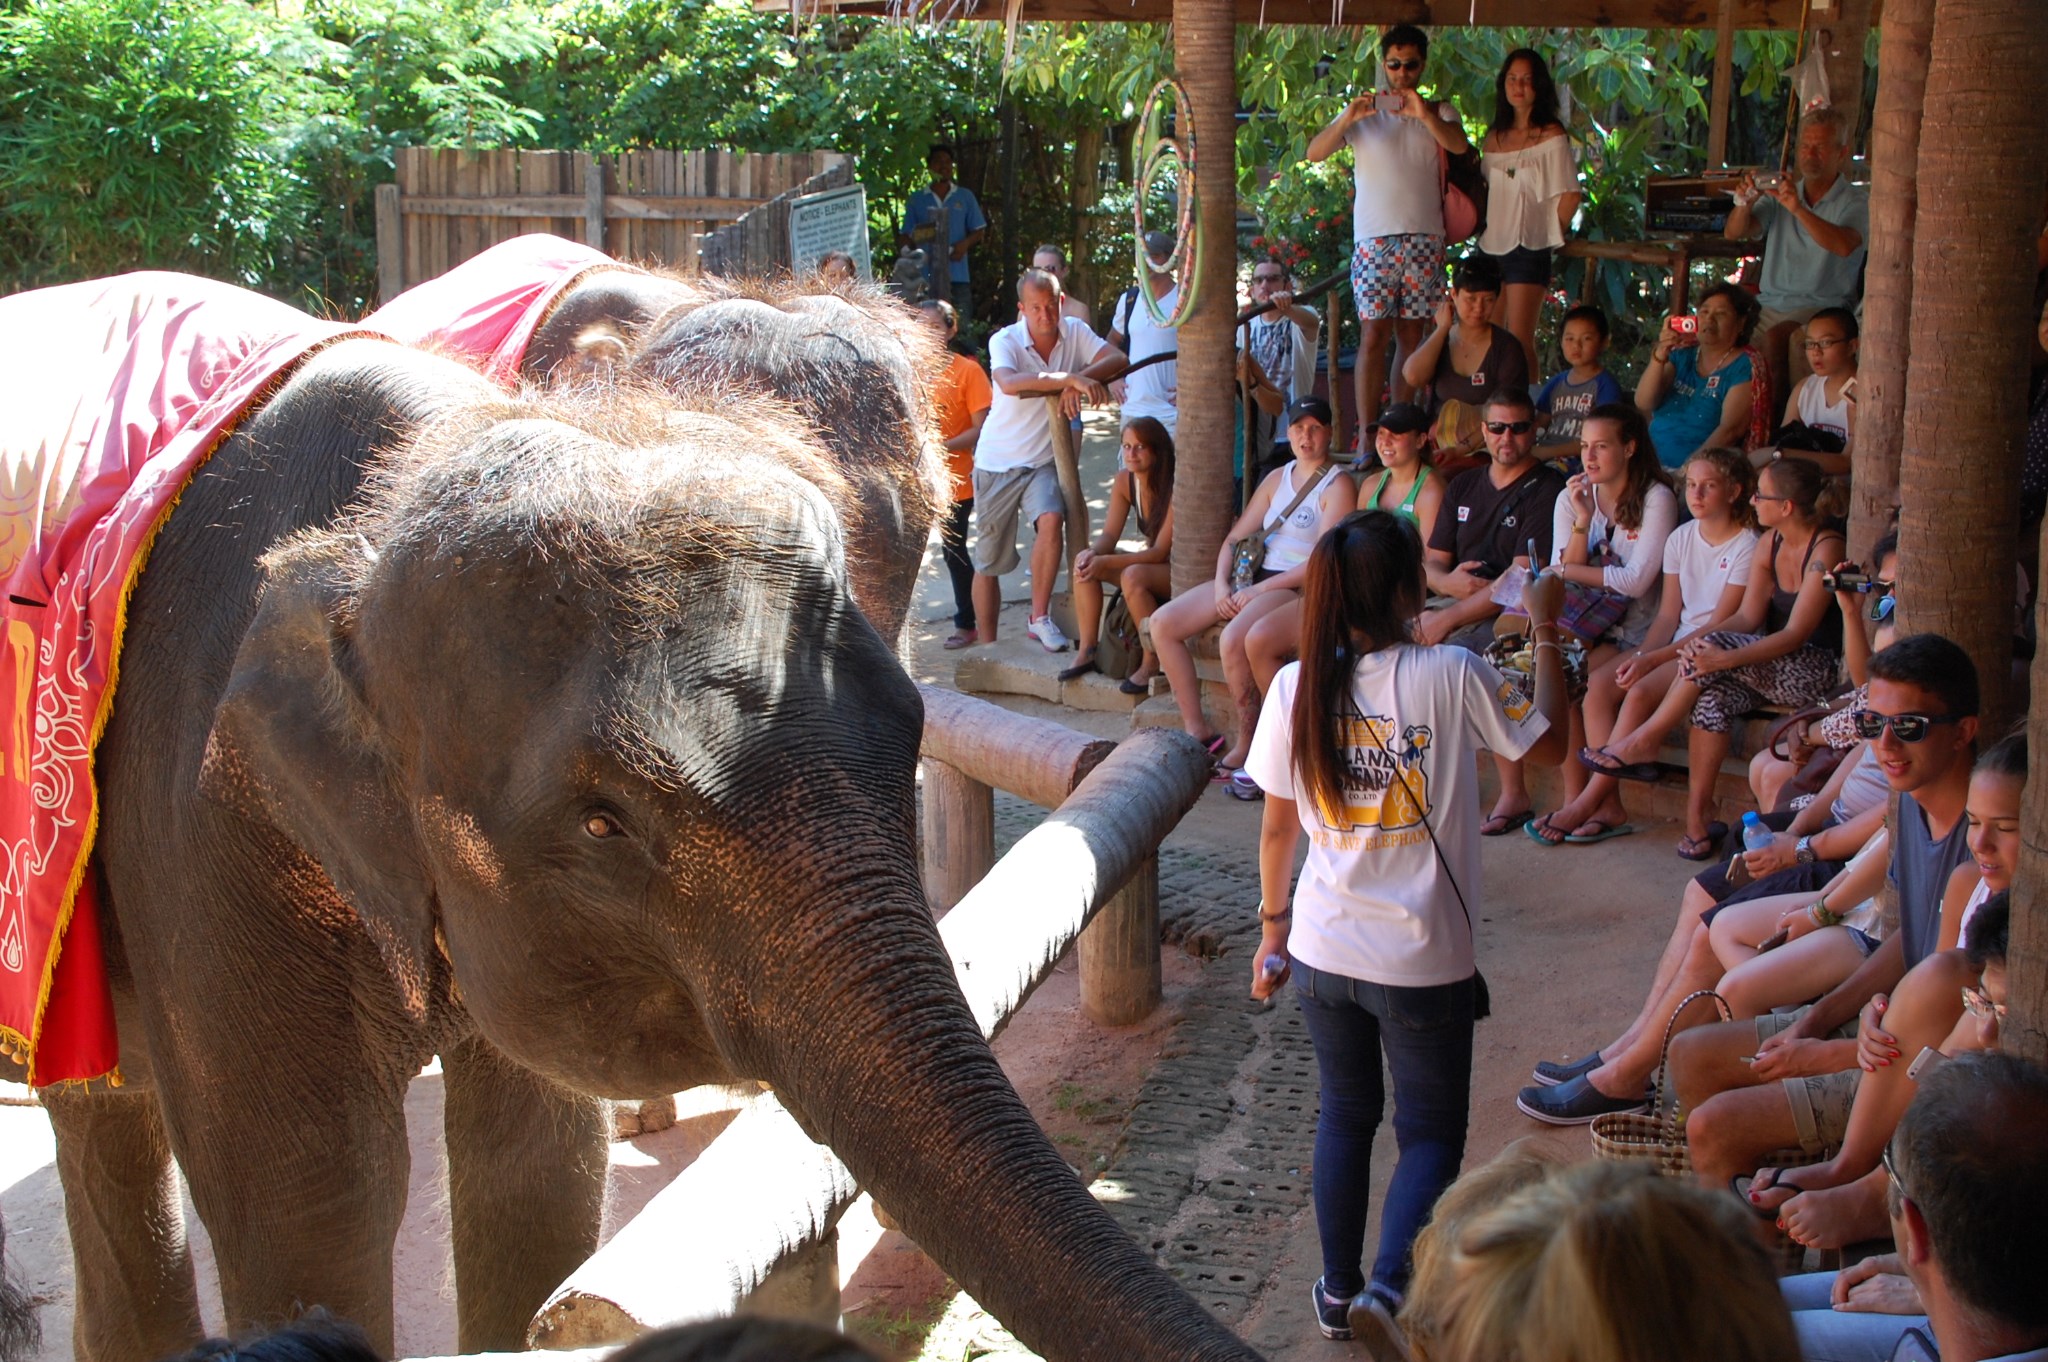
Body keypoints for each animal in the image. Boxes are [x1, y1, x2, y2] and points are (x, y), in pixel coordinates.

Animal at [24, 284, 1253, 1359]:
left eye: (909, 728)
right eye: (602, 825)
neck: (386, 503)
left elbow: (535, 1174)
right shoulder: (197, 828)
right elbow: (304, 1207)